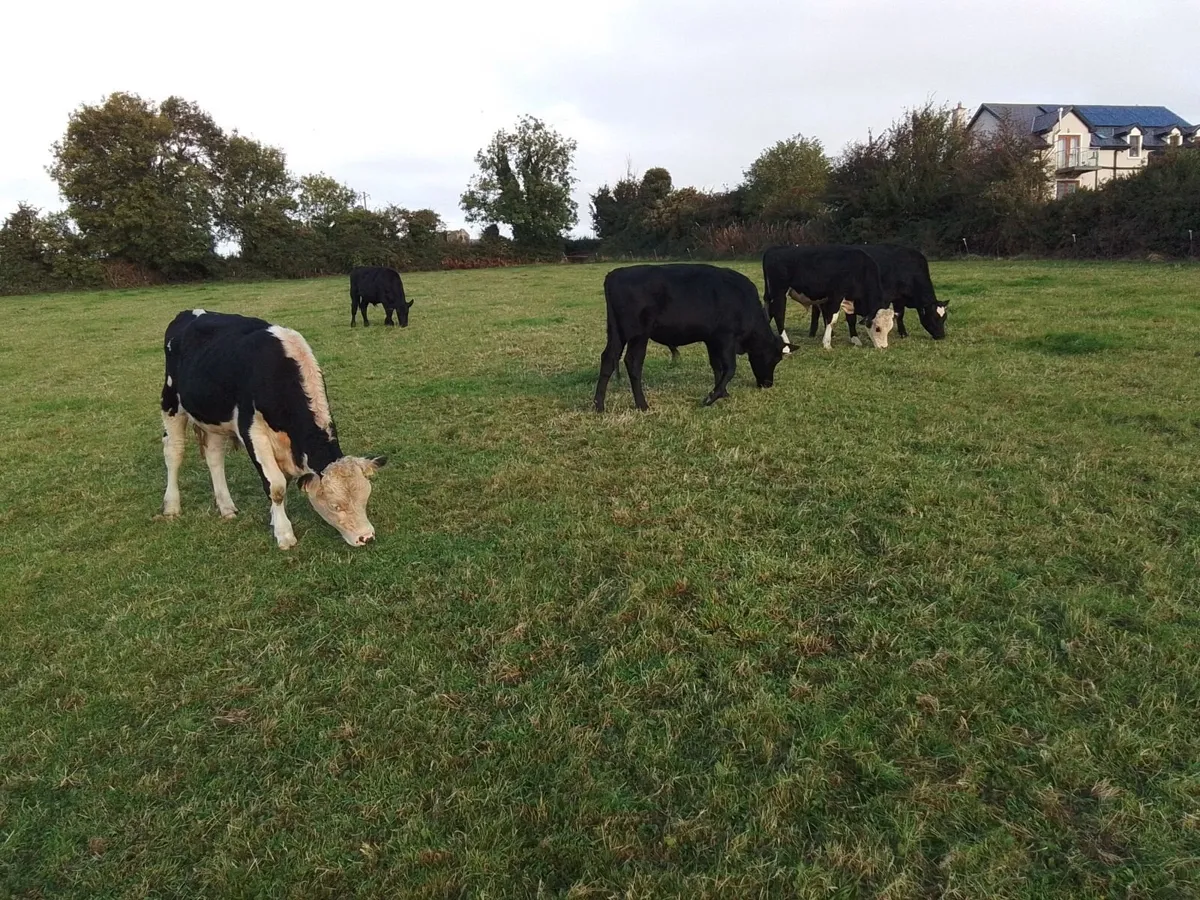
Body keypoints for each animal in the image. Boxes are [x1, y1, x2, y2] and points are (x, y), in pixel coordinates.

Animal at [160, 309, 387, 550]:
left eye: (365, 498)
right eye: (335, 506)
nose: (366, 537)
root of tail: (189, 313)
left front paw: (274, 519)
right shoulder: (252, 432)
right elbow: (276, 486)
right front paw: (284, 533)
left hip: (213, 418)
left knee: (214, 458)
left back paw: (226, 507)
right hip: (171, 403)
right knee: (174, 452)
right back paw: (171, 506)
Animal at [594, 264, 788, 412]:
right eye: (775, 359)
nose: (768, 384)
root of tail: (615, 274)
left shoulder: (712, 339)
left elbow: (717, 366)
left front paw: (723, 393)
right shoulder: (726, 337)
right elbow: (730, 368)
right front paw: (711, 397)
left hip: (617, 333)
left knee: (608, 359)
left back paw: (599, 406)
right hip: (638, 335)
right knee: (633, 362)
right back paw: (642, 405)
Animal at [761, 244, 895, 352]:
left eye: (889, 328)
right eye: (877, 328)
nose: (884, 347)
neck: (859, 270)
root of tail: (773, 249)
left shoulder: (850, 299)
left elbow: (851, 319)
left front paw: (855, 340)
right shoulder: (836, 297)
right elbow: (832, 319)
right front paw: (827, 344)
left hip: (769, 294)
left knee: (768, 313)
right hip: (779, 293)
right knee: (778, 315)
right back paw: (786, 345)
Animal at [808, 244, 946, 344]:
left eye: (944, 318)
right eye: (933, 317)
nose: (941, 336)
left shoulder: (899, 298)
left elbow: (899, 315)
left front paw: (902, 333)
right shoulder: (890, 296)